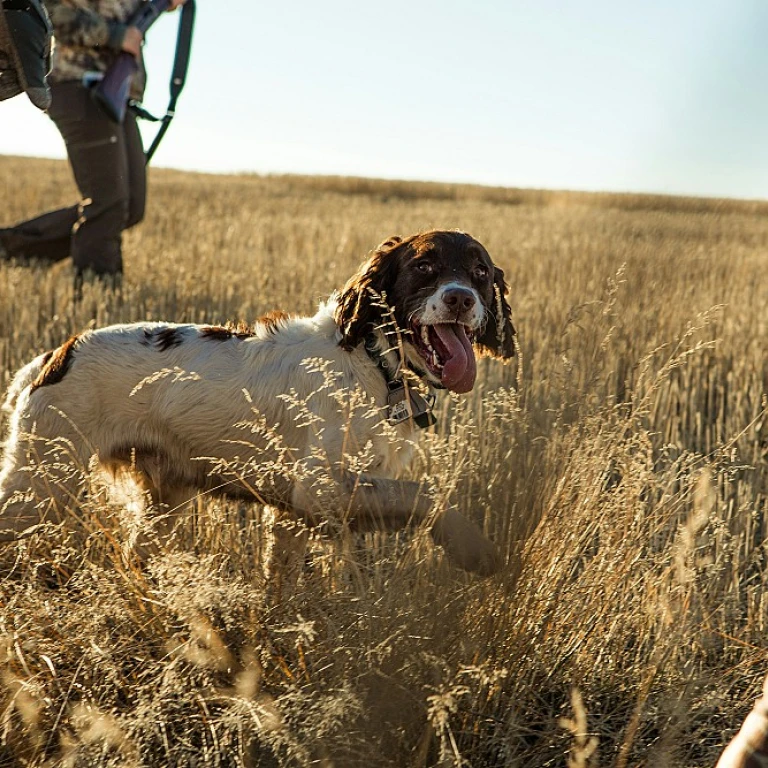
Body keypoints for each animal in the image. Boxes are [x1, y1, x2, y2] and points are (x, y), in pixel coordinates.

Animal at [3, 232, 516, 576]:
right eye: (425, 266)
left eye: (480, 272)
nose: (460, 299)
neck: (374, 363)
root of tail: (54, 356)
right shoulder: (318, 487)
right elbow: (424, 494)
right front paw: (474, 549)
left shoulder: (292, 512)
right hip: (39, 485)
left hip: (161, 498)